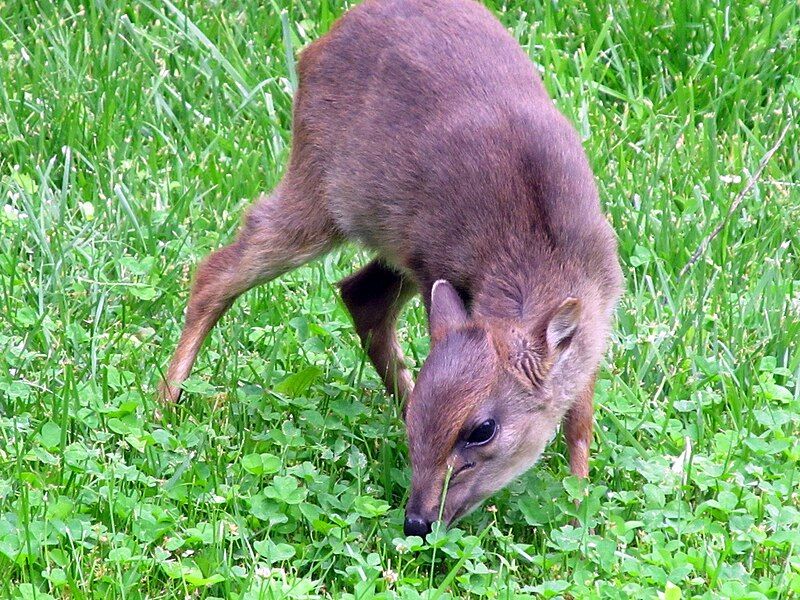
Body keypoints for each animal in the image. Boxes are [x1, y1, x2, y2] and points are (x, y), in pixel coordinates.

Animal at [164, 0, 624, 536]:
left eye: (482, 429)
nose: (418, 521)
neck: (539, 247)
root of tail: (316, 47)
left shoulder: (595, 319)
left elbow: (580, 419)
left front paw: (580, 504)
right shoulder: (434, 268)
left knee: (358, 294)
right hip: (322, 197)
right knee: (218, 270)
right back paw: (165, 401)